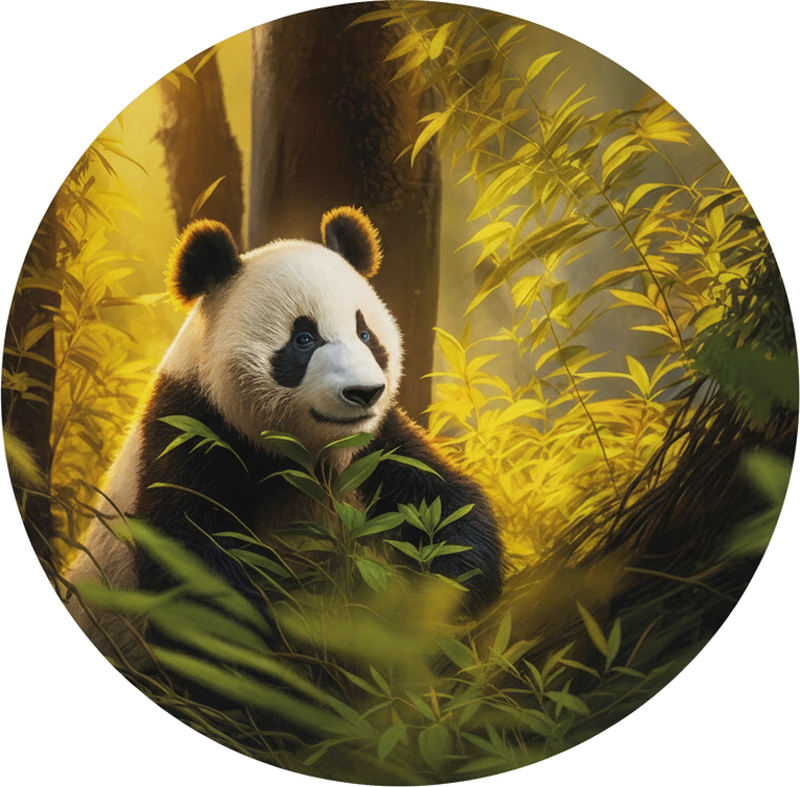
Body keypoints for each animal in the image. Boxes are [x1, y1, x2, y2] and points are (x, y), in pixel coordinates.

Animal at [65, 207, 503, 663]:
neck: (303, 454)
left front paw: (436, 597)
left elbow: (445, 503)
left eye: (366, 335)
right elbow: (193, 569)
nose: (363, 393)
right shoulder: (192, 432)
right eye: (303, 339)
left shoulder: (374, 447)